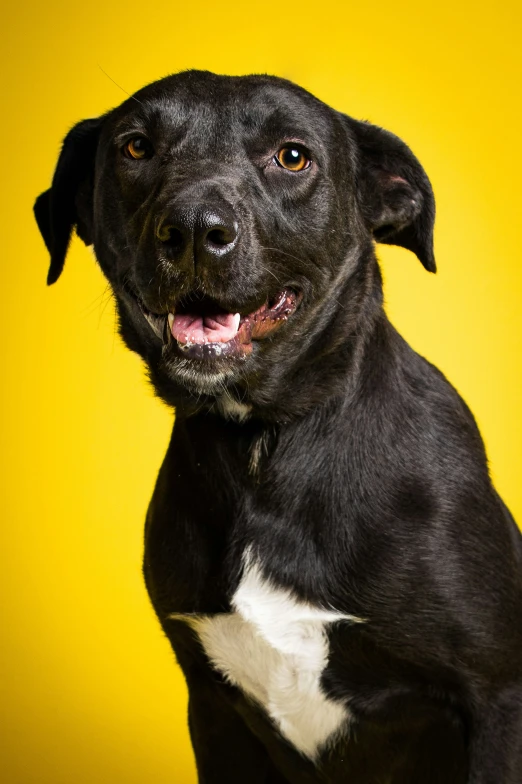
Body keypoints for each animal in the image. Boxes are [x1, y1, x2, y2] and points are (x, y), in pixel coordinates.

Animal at [34, 70, 516, 780]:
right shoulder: (211, 707)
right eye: (135, 147)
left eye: (292, 157)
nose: (194, 229)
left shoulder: (496, 697)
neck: (262, 444)